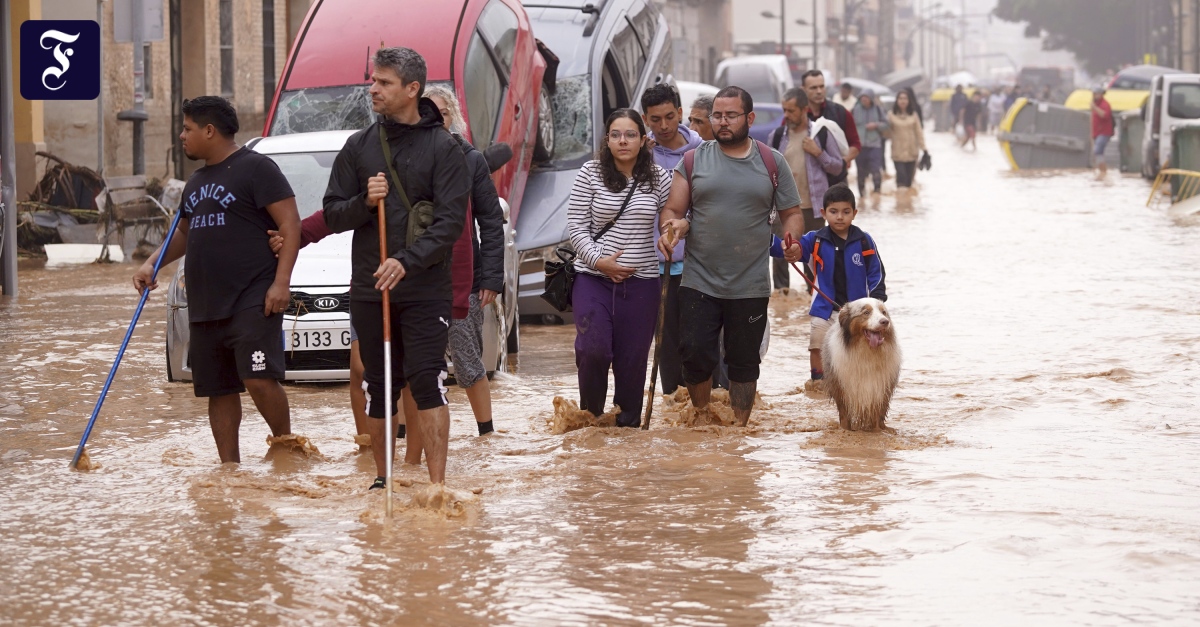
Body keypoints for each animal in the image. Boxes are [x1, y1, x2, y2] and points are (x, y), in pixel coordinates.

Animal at [825, 296, 902, 430]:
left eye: (883, 312)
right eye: (866, 312)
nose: (885, 321)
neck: (868, 351)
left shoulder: (881, 389)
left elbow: (878, 415)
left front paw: (878, 431)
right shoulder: (841, 387)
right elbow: (845, 415)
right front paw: (845, 430)